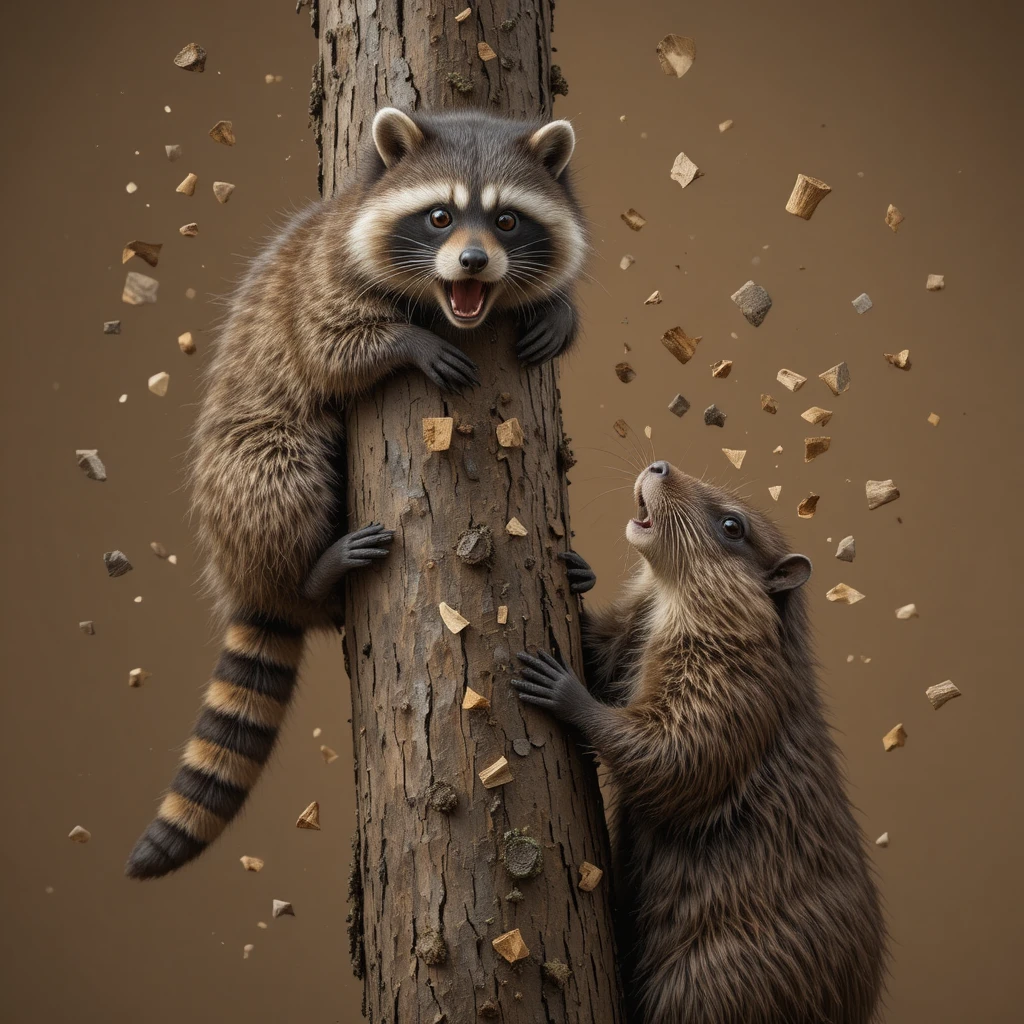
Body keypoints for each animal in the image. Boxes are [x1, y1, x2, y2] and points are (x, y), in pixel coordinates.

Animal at [126, 107, 587, 879]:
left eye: (507, 221)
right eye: (439, 217)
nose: (473, 262)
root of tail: (248, 579)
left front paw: (560, 306)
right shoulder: (321, 276)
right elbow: (328, 345)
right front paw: (405, 342)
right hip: (249, 465)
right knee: (280, 467)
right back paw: (313, 573)